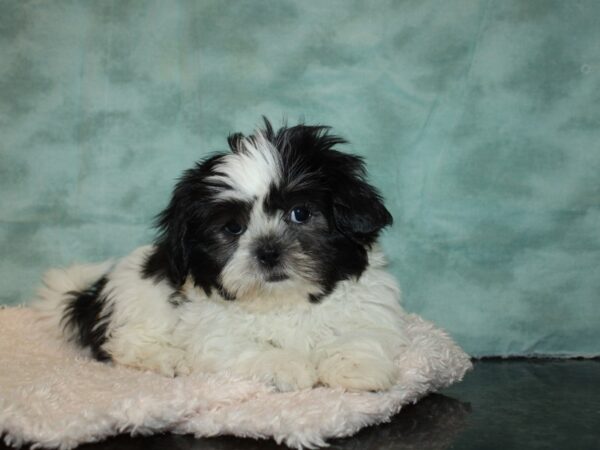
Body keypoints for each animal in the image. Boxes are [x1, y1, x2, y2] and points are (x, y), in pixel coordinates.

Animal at [35, 118, 410, 390]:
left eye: (300, 213)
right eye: (233, 228)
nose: (268, 252)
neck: (284, 302)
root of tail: (91, 297)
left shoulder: (370, 308)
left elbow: (362, 334)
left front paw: (357, 368)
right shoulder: (214, 332)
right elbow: (246, 347)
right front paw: (287, 367)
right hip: (138, 302)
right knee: (124, 343)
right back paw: (168, 359)